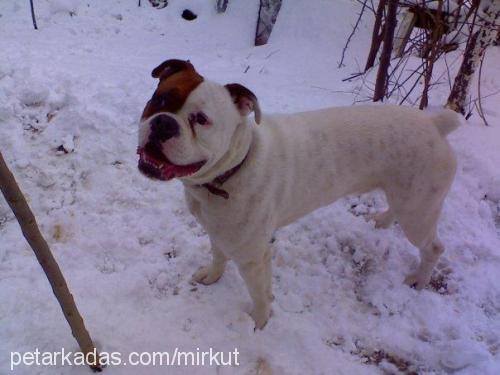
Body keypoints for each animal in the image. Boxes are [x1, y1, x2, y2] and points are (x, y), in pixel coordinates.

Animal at [138, 59, 460, 328]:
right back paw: (382, 221)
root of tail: (434, 124)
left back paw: (419, 279)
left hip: (419, 211)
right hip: (406, 197)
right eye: (160, 99)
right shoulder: (217, 230)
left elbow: (259, 293)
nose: (164, 123)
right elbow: (218, 255)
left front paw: (258, 322)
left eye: (201, 119)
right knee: (397, 209)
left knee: (433, 247)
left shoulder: (253, 255)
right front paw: (212, 275)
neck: (232, 168)